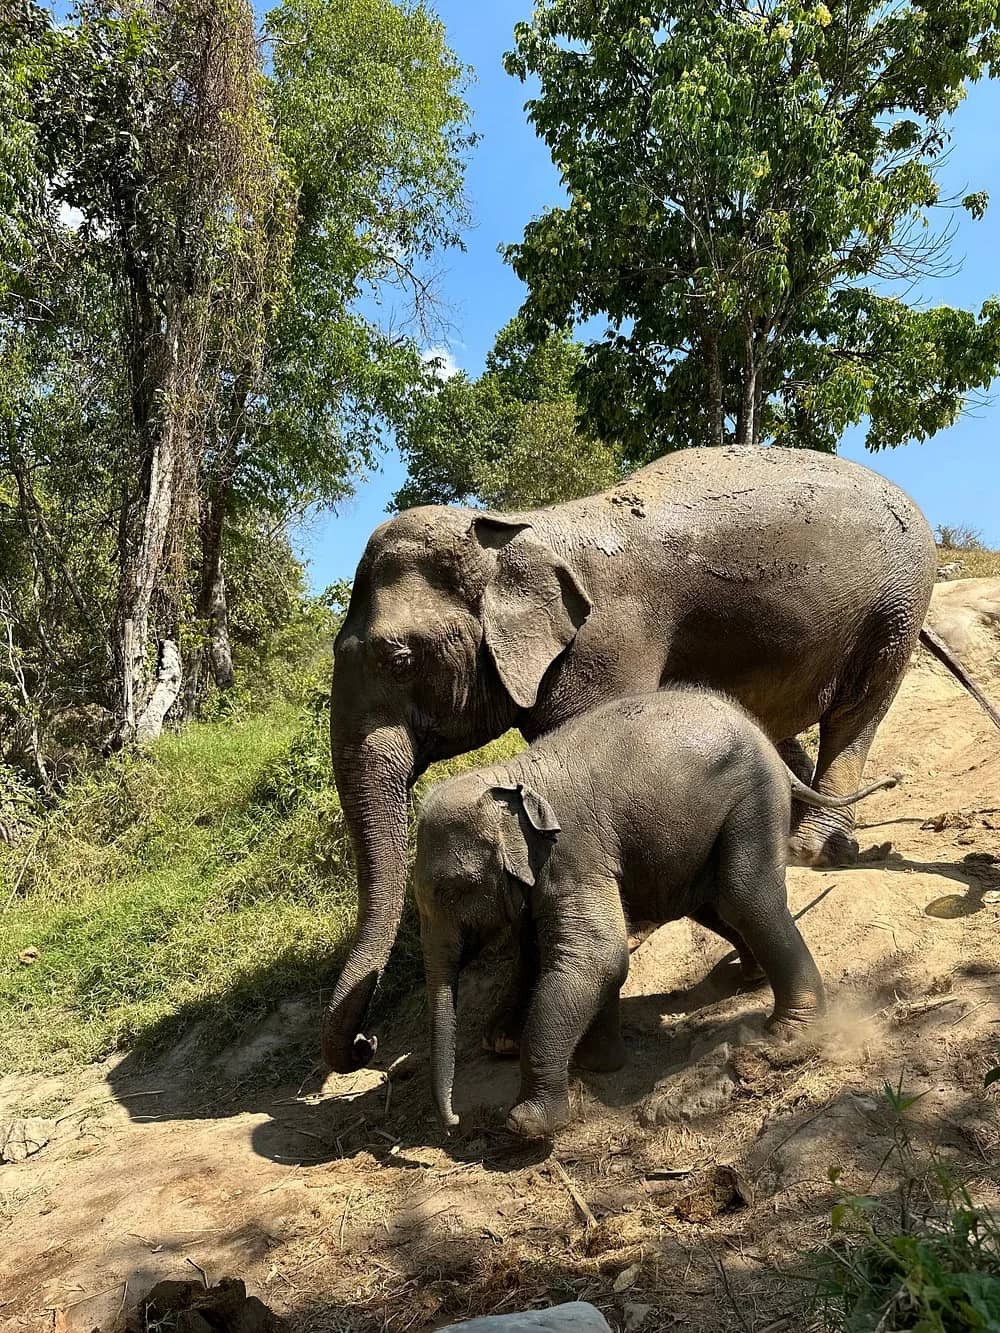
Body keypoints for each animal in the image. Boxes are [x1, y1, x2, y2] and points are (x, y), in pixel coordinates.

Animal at [324, 444, 999, 1073]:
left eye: (399, 659)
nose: (365, 1044)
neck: (515, 530)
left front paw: (515, 1030)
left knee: (858, 711)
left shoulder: (606, 645)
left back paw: (812, 849)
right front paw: (505, 1034)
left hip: (896, 603)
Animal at [415, 687, 898, 1140]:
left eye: (450, 889)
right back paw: (752, 977)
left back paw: (789, 1030)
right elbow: (566, 953)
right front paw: (595, 1063)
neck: (510, 776)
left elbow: (596, 955)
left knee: (743, 895)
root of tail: (766, 741)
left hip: (752, 799)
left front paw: (528, 1123)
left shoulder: (575, 854)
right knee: (709, 903)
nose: (453, 1122)